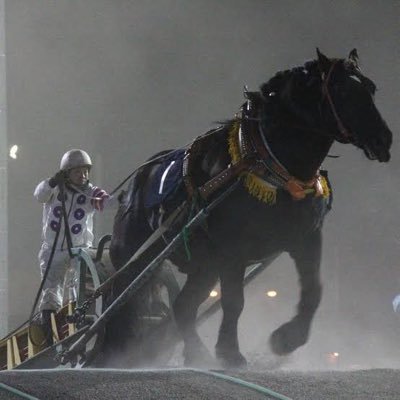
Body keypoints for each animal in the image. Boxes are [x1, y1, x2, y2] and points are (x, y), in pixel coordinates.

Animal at [108, 50, 392, 368]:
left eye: (370, 88)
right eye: (342, 90)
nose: (383, 139)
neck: (269, 165)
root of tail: (135, 183)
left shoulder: (306, 239)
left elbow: (313, 291)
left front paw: (287, 338)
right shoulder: (233, 250)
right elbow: (234, 302)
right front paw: (230, 352)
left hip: (205, 266)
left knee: (182, 306)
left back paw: (194, 353)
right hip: (134, 259)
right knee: (122, 302)